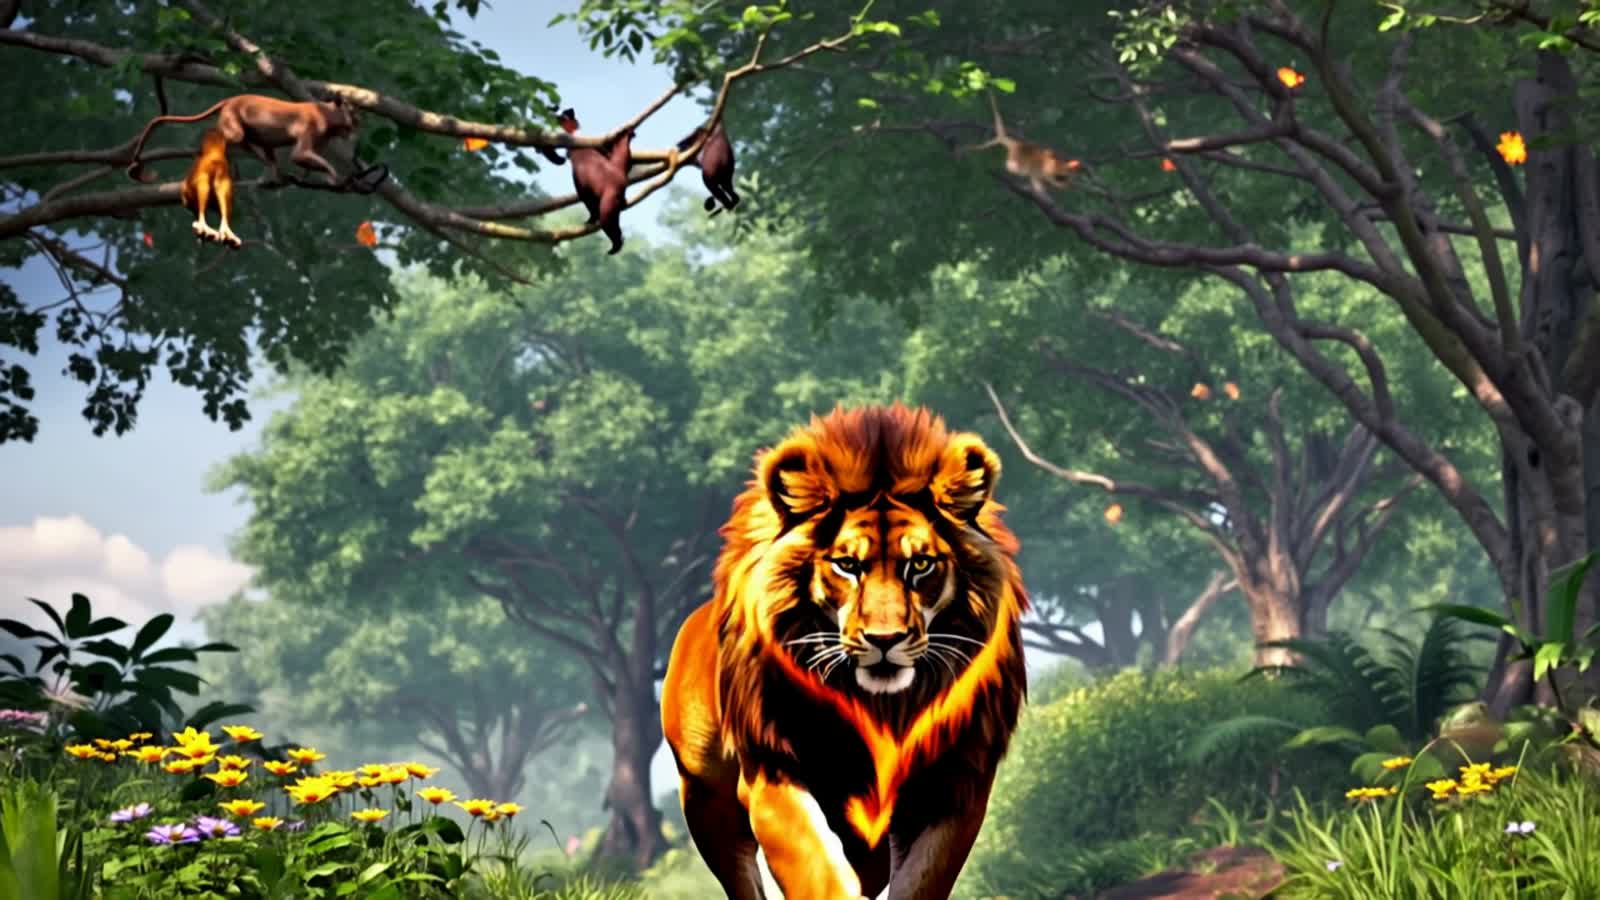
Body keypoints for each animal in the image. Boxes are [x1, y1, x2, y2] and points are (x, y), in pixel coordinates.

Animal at [661, 403, 1030, 900]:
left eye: (920, 564)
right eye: (847, 565)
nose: (885, 639)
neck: (882, 707)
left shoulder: (954, 788)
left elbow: (920, 881)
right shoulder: (773, 776)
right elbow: (817, 870)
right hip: (706, 801)